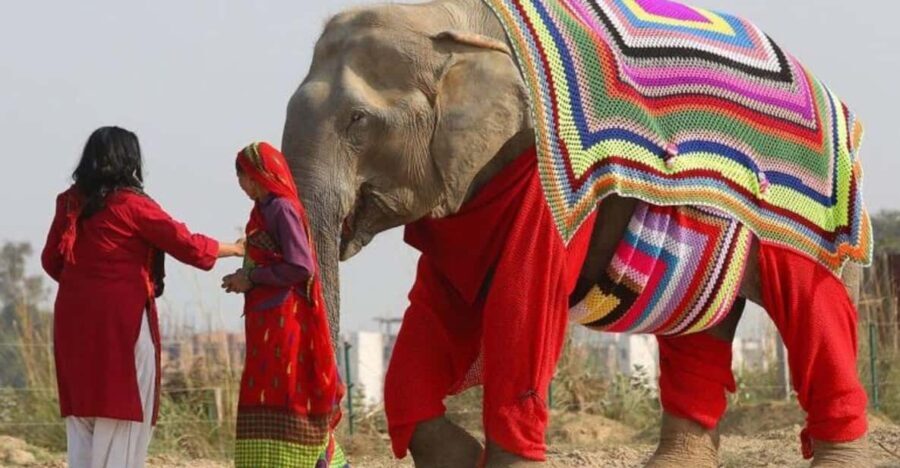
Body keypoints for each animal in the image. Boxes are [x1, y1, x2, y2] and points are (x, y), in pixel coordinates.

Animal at [280, 0, 870, 466]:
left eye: (358, 121)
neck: (448, 19)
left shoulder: (544, 175)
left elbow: (523, 297)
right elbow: (436, 302)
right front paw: (467, 458)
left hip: (818, 215)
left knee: (816, 311)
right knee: (699, 335)